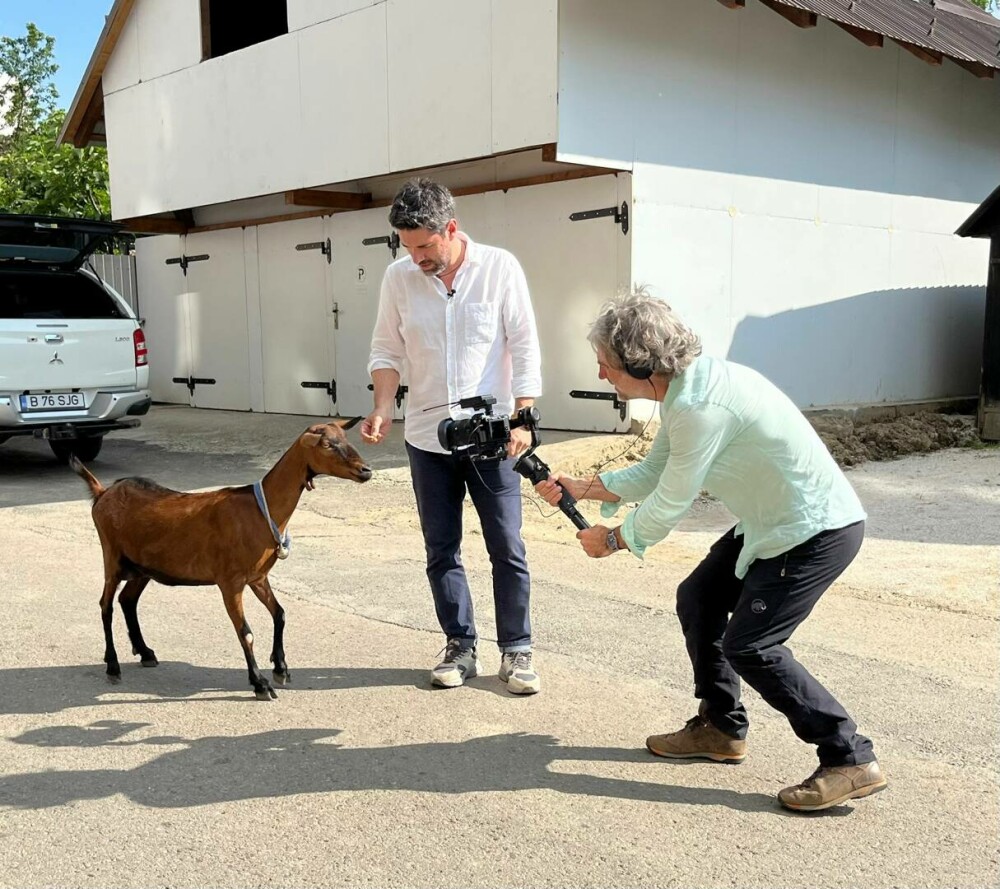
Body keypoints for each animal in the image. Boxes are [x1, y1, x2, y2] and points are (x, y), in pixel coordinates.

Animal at [72, 418, 374, 700]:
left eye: (345, 438)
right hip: (112, 557)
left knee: (127, 600)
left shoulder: (257, 577)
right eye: (328, 444)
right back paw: (113, 666)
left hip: (143, 567)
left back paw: (145, 652)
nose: (366, 470)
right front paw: (260, 683)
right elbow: (246, 632)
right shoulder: (230, 582)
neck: (260, 510)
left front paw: (281, 669)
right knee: (106, 605)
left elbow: (280, 614)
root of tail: (102, 493)